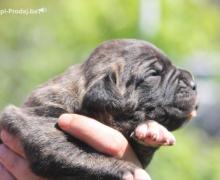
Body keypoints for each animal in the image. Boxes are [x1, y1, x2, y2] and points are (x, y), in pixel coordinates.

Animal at [0, 39, 198, 180]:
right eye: (154, 74)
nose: (194, 83)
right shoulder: (42, 122)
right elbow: (75, 153)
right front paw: (127, 169)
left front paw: (152, 130)